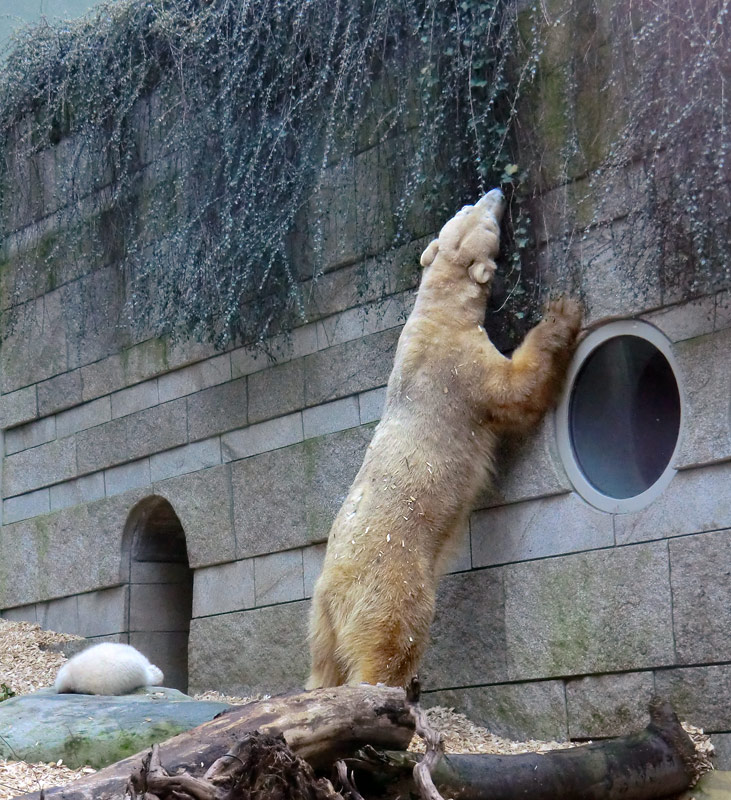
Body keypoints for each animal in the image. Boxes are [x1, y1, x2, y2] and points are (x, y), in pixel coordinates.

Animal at [306, 189, 580, 688]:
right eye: (484, 219)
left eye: (467, 208)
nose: (497, 193)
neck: (437, 311)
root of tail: (334, 595)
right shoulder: (461, 365)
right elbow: (515, 390)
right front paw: (563, 312)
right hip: (392, 583)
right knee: (392, 641)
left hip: (318, 620)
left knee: (323, 666)